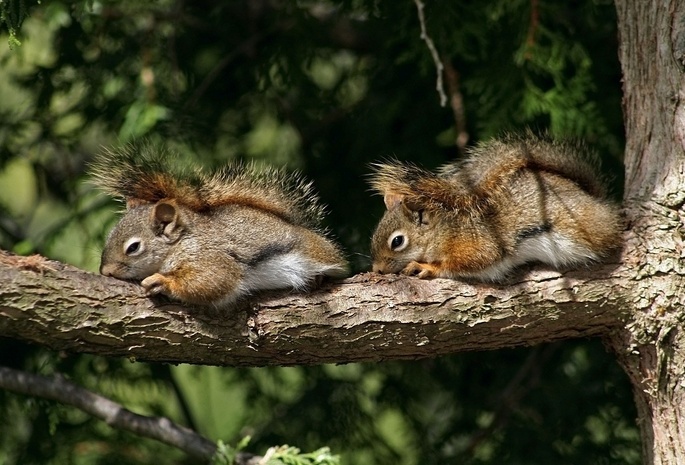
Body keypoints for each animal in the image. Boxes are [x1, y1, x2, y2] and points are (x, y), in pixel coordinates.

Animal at [91, 143, 348, 306]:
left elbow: (215, 280)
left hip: (317, 253)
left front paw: (162, 281)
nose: (106, 272)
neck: (180, 242)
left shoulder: (210, 256)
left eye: (133, 247)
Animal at [372, 132, 624, 280]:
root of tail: (597, 200)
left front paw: (426, 267)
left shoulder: (476, 243)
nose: (377, 270)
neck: (444, 229)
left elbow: (471, 261)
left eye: (397, 241)